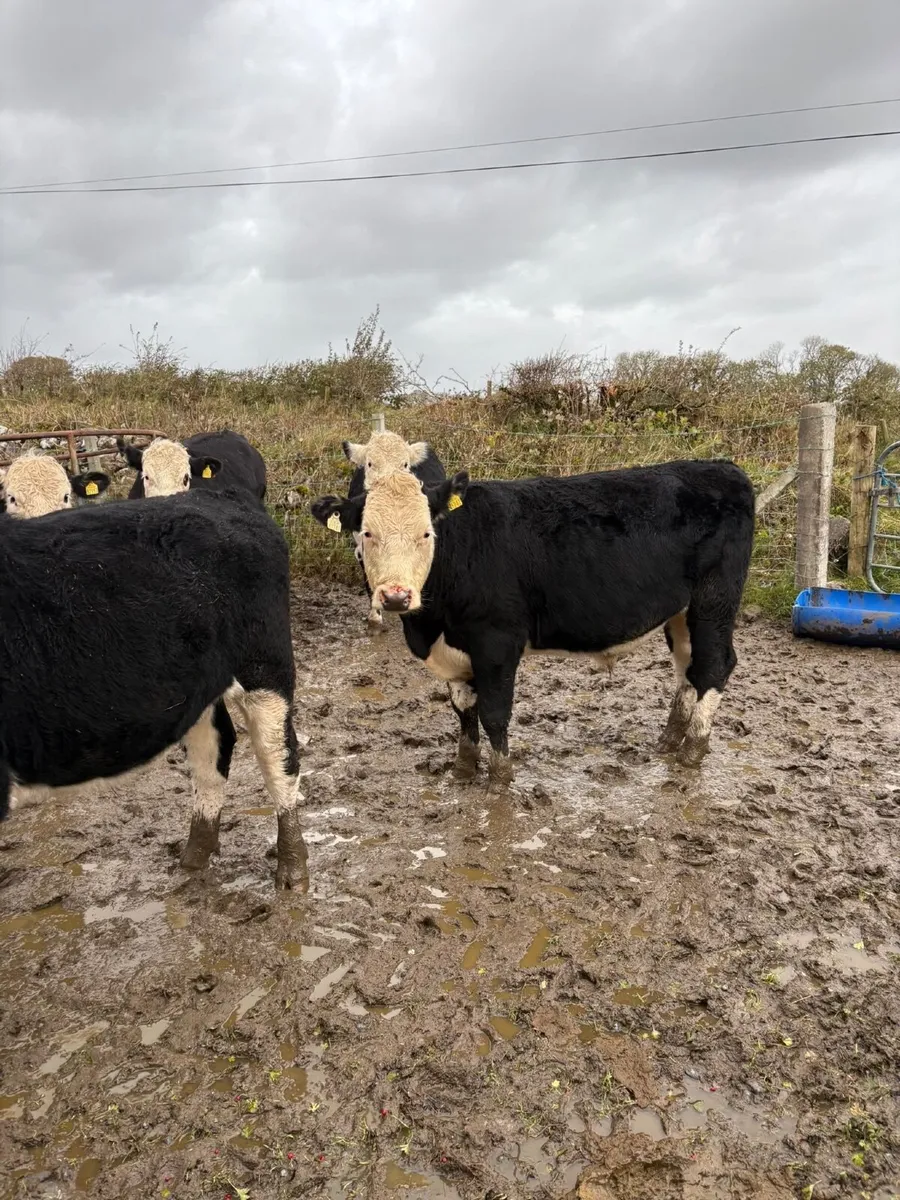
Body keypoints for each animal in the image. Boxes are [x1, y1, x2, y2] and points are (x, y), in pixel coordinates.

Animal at [0, 488, 307, 889]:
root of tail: (220, 495)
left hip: (264, 669)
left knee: (278, 756)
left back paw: (292, 871)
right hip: (197, 685)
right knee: (213, 751)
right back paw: (194, 859)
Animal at [313, 460, 755, 787]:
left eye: (426, 533)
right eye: (366, 533)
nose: (395, 596)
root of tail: (721, 466)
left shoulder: (497, 642)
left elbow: (494, 713)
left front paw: (499, 780)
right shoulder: (455, 652)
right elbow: (463, 709)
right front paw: (462, 770)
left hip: (714, 601)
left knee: (714, 666)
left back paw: (692, 751)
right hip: (681, 613)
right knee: (688, 667)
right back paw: (669, 740)